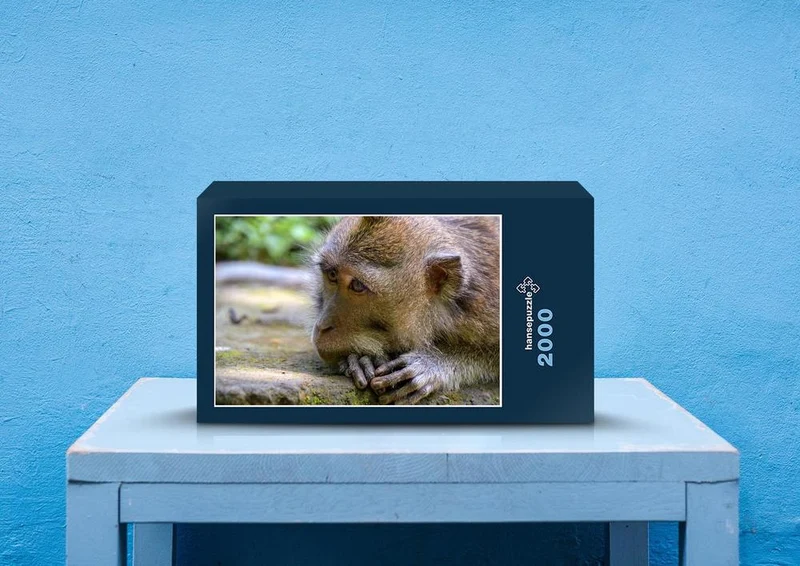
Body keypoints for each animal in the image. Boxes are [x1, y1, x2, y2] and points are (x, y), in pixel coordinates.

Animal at [309, 215, 500, 405]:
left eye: (357, 285)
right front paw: (359, 358)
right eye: (332, 275)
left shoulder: (486, 310)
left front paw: (434, 362)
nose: (322, 326)